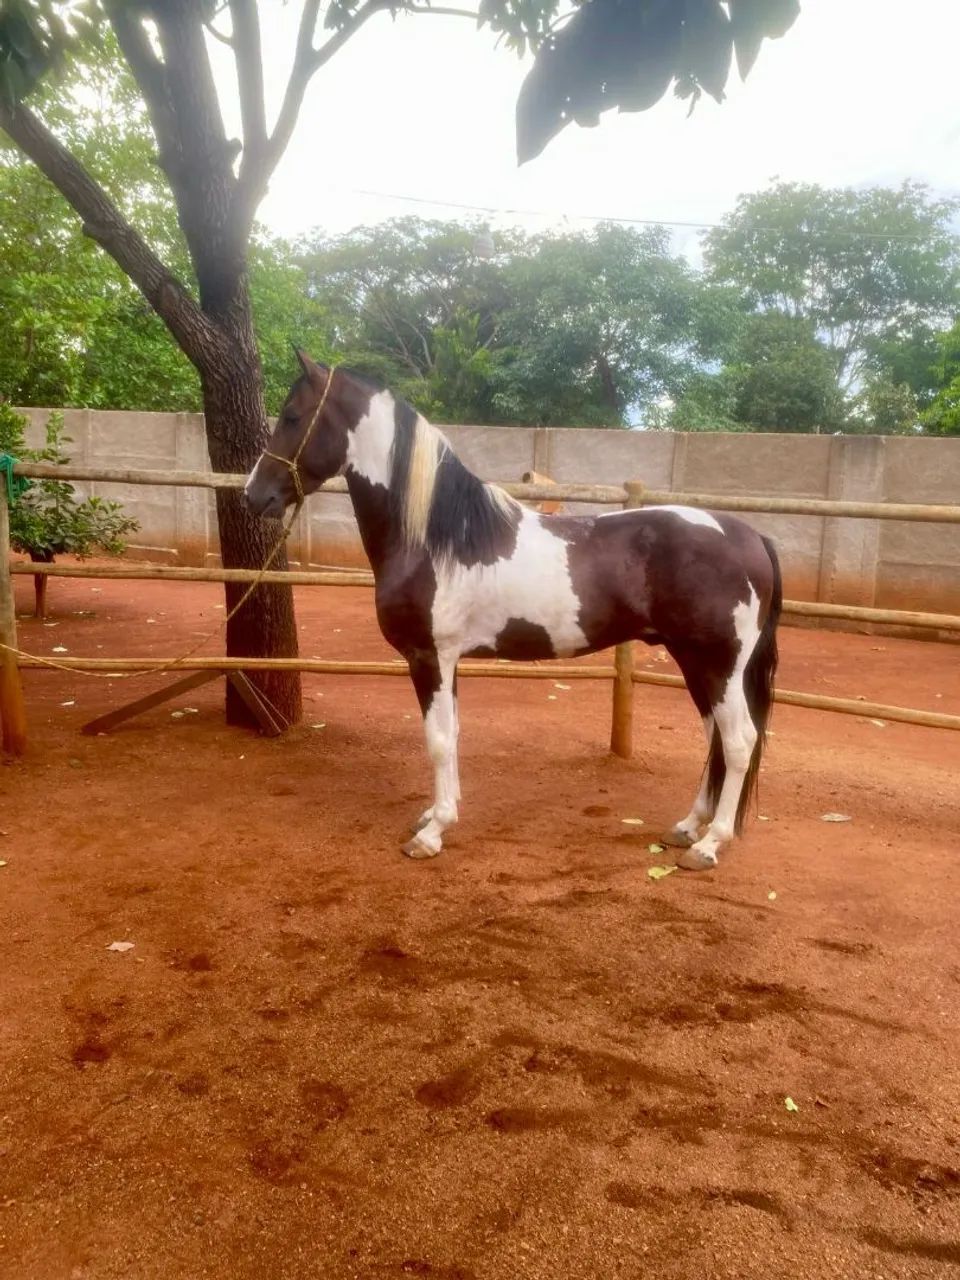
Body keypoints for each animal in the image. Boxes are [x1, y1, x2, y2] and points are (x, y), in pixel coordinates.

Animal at [243, 353, 782, 871]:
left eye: (292, 417)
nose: (254, 495)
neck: (436, 538)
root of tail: (750, 536)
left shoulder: (428, 657)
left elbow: (438, 739)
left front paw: (432, 833)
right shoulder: (448, 660)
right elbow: (453, 733)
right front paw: (437, 813)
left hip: (717, 664)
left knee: (738, 741)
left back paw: (710, 844)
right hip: (694, 662)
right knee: (714, 738)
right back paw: (688, 826)